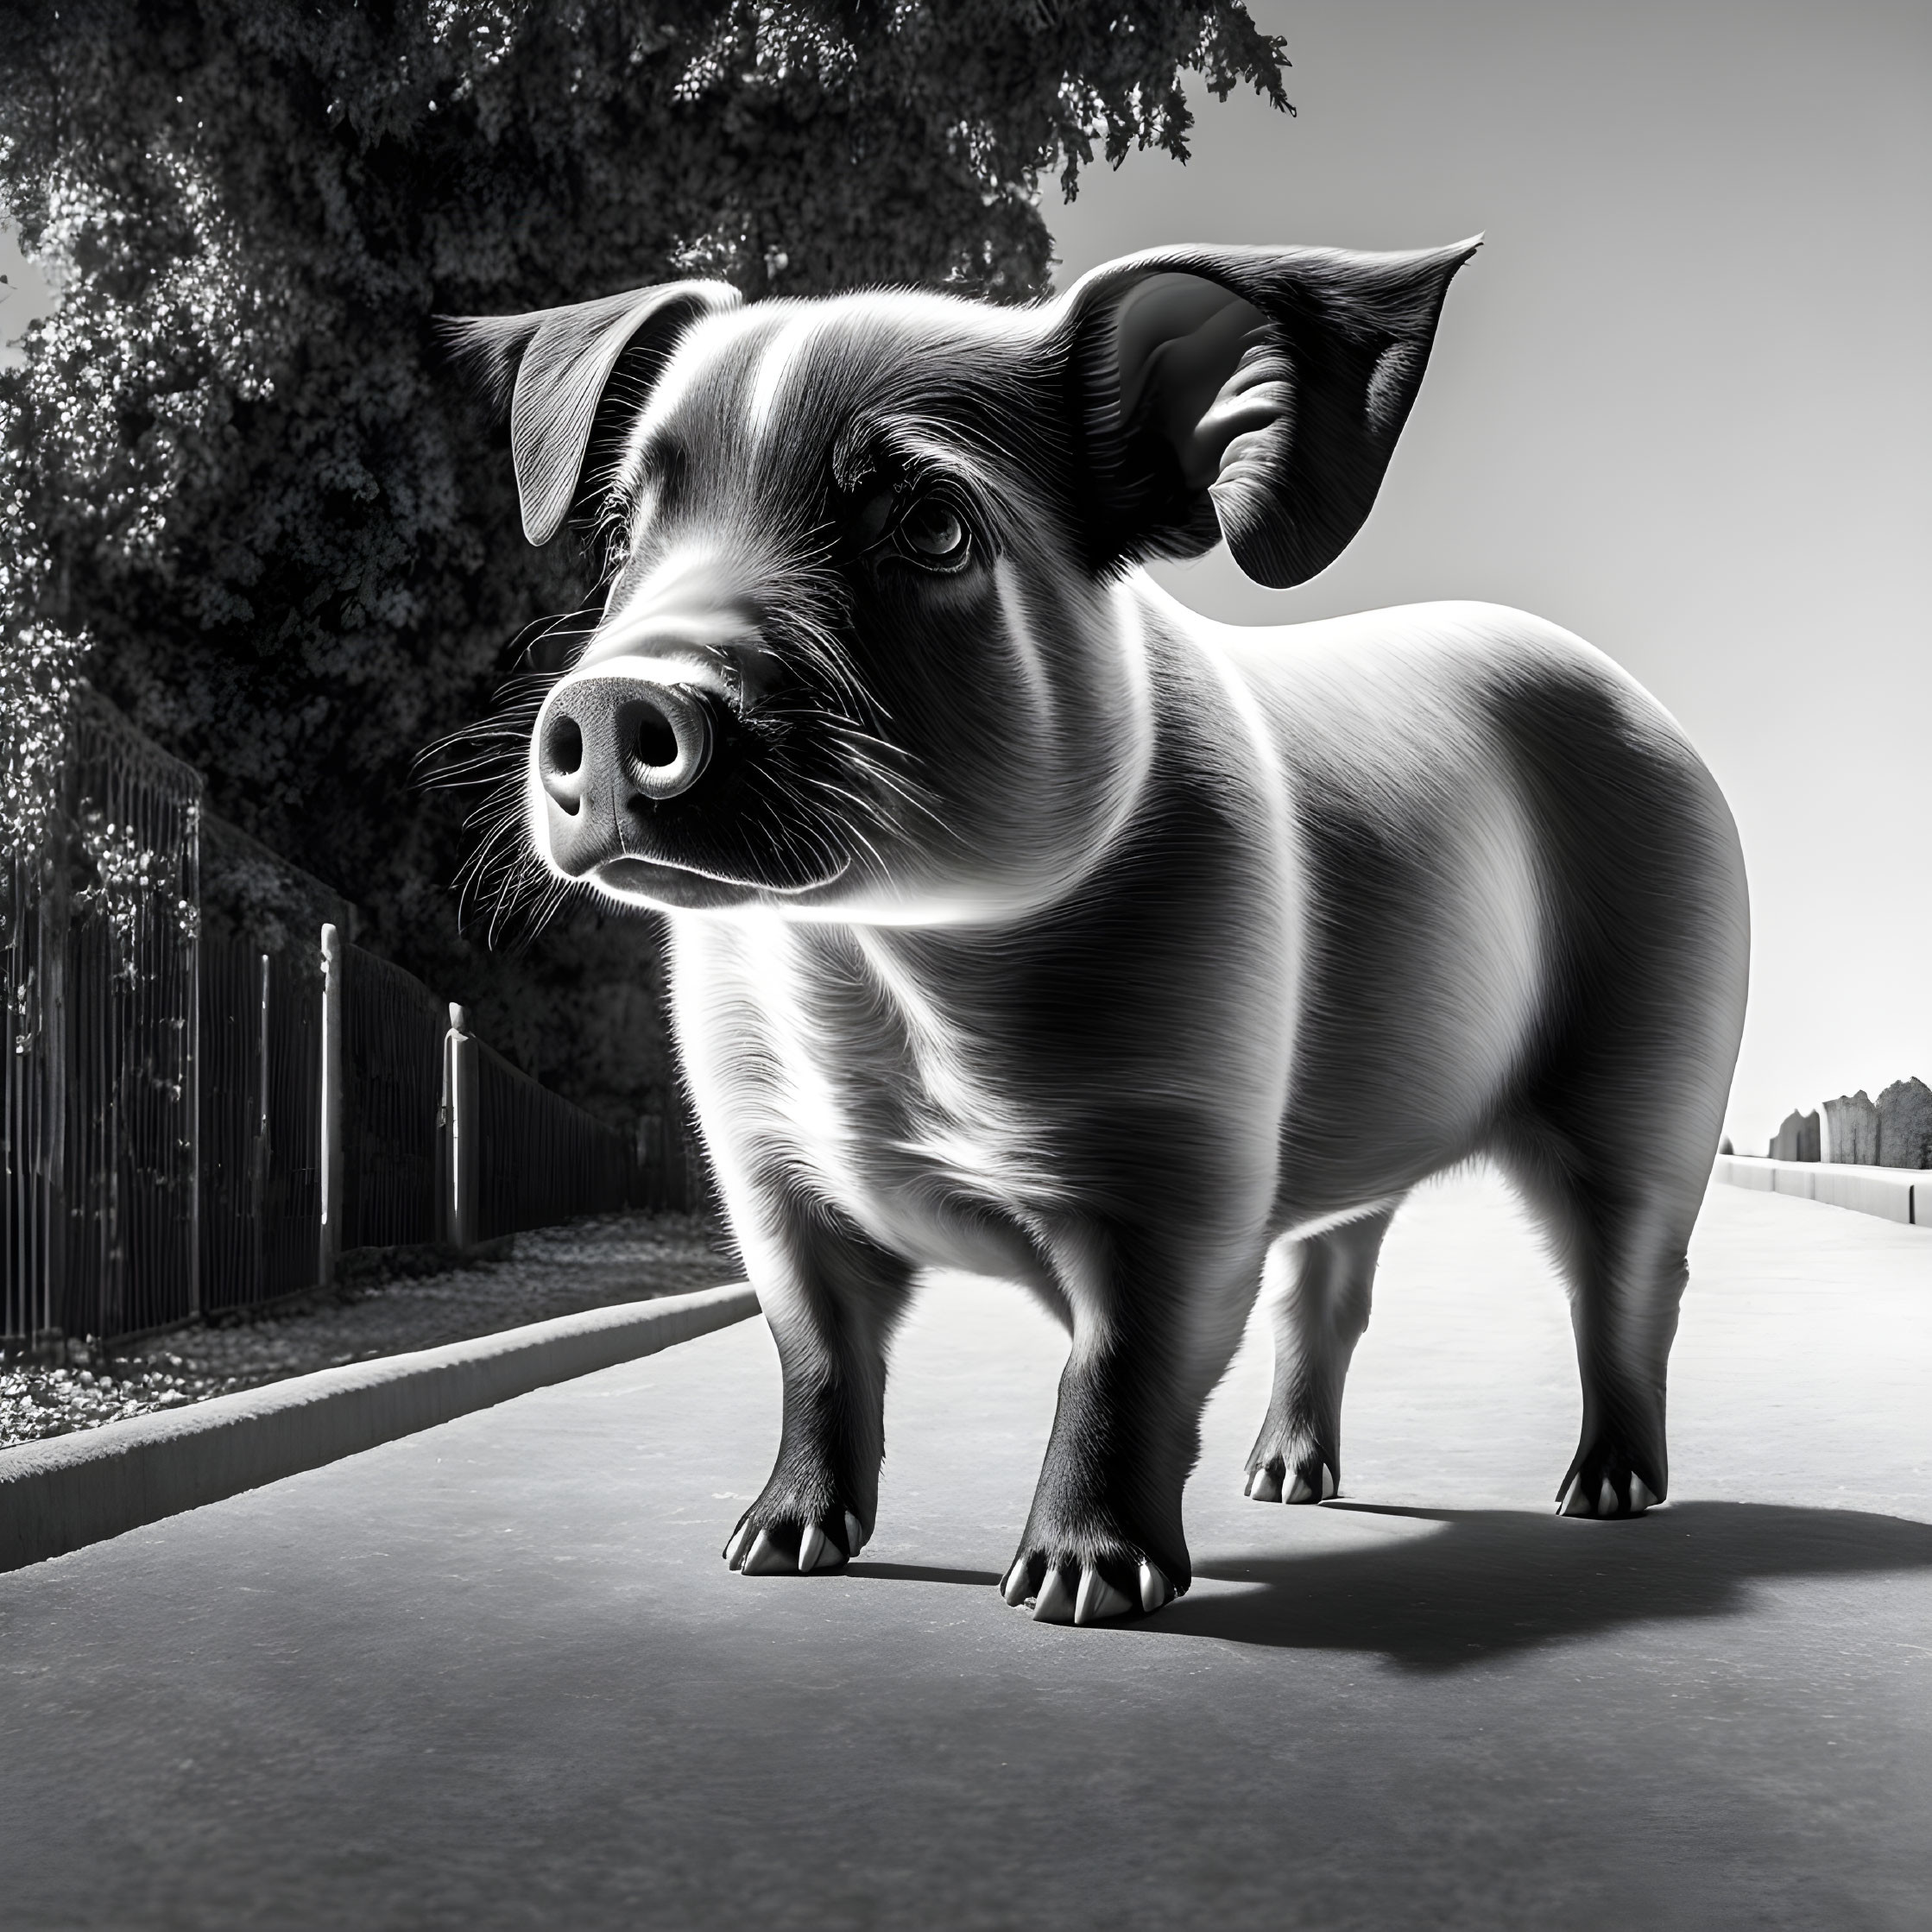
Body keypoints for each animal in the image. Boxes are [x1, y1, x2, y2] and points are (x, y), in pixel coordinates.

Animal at [451, 245, 1754, 1630]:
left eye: (933, 525)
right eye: (614, 536)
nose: (612, 700)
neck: (889, 975)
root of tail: (1652, 713)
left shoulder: (1188, 1162)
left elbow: (1122, 1370)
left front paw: (1078, 1590)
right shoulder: (761, 1167)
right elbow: (815, 1353)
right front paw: (772, 1547)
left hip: (1655, 1058)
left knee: (1625, 1284)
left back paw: (1602, 1494)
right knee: (1329, 1288)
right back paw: (1283, 1484)